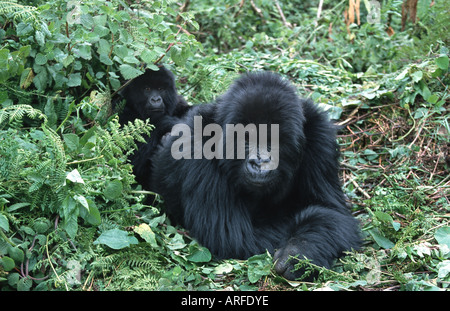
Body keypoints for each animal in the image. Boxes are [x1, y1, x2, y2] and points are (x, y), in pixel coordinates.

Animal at [149, 72, 360, 280]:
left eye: (274, 141)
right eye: (246, 138)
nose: (260, 162)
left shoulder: (320, 136)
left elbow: (330, 211)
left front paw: (299, 251)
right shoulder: (194, 143)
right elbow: (233, 236)